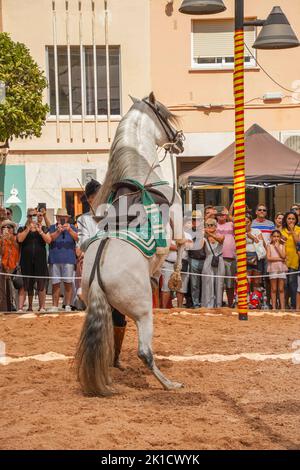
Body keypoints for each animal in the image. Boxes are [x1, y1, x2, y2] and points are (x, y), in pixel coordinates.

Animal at [75, 92, 185, 392]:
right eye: (165, 114)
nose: (180, 140)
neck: (140, 173)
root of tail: (97, 275)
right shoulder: (178, 208)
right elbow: (182, 243)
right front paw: (175, 280)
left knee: (114, 332)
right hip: (144, 311)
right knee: (144, 352)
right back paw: (169, 384)